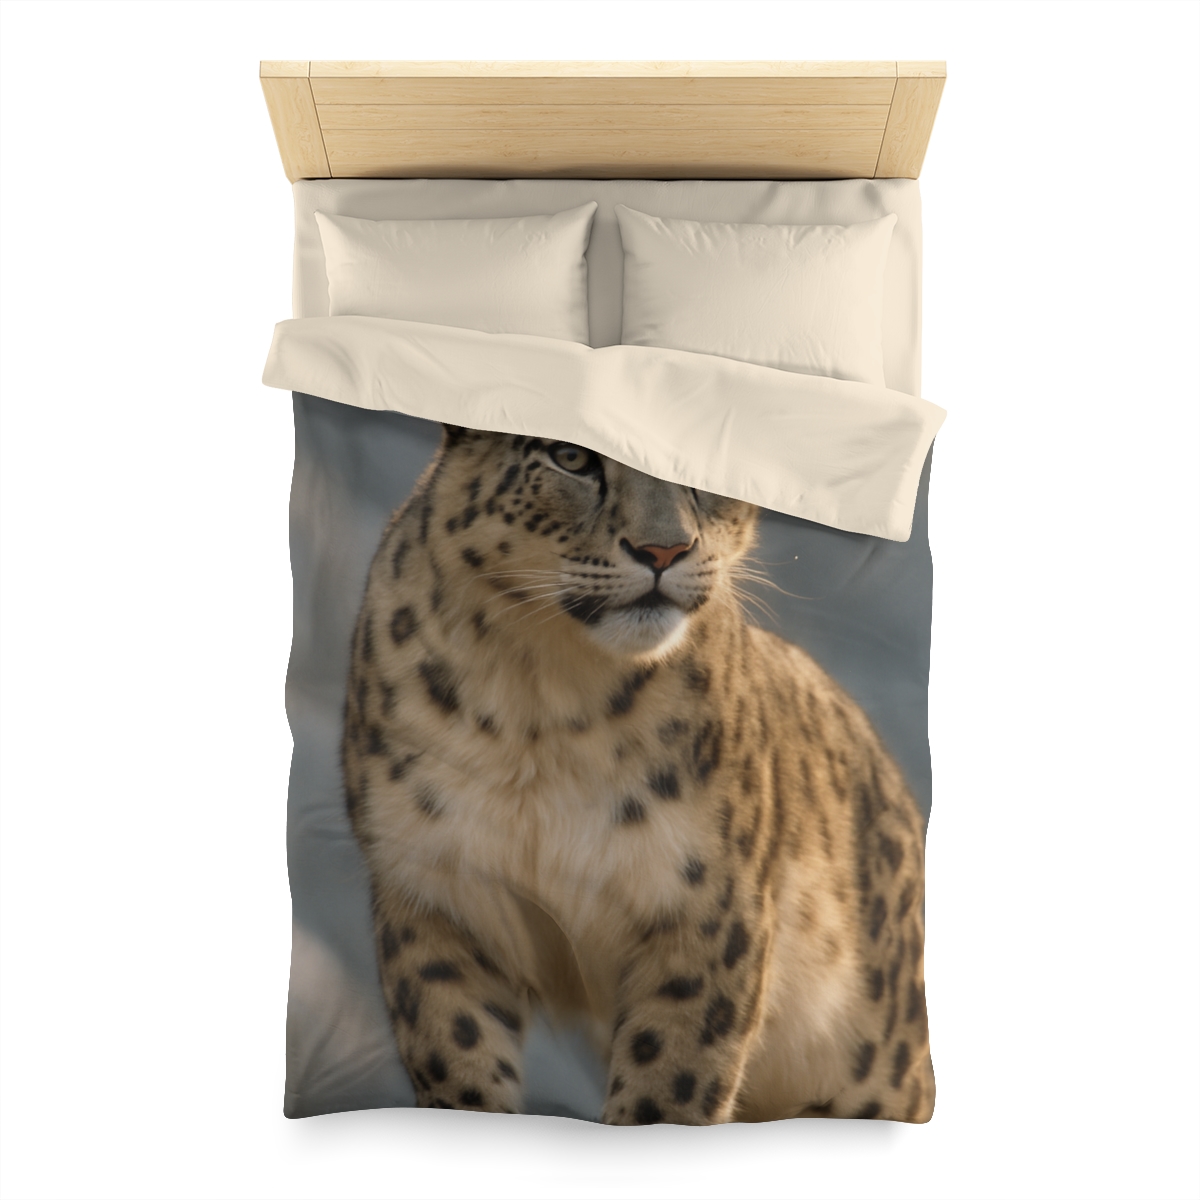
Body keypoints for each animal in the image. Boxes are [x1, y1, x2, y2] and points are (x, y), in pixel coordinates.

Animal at [341, 425, 934, 1125]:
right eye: (570, 456)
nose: (663, 549)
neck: (539, 702)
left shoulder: (706, 909)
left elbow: (667, 1084)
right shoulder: (435, 894)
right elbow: (456, 1055)